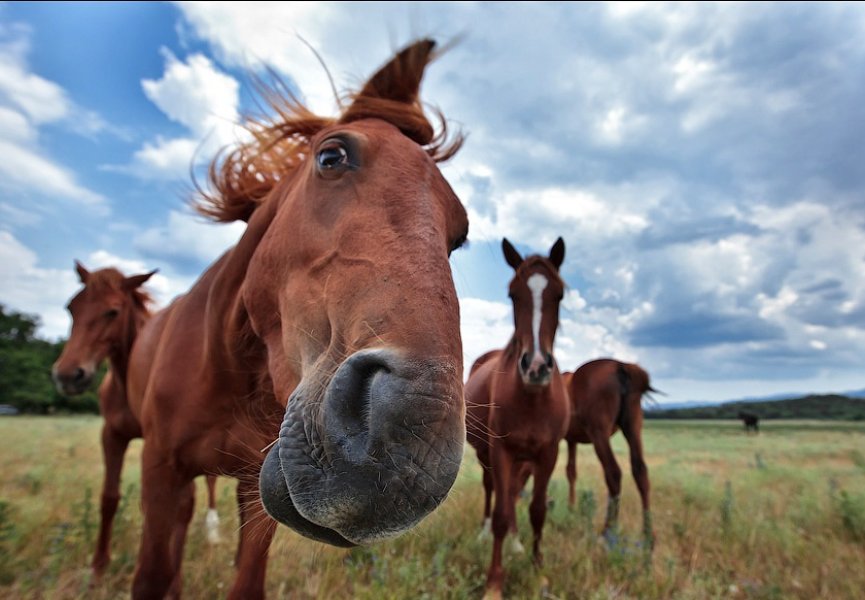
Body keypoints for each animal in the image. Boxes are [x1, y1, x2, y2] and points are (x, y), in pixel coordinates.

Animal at [51, 264, 223, 580]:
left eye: (113, 311)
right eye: (71, 308)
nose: (68, 375)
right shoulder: (112, 435)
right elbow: (109, 497)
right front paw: (99, 566)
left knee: (209, 485)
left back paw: (212, 531)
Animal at [125, 39, 470, 596]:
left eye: (459, 234)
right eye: (332, 156)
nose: (411, 450)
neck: (228, 369)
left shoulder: (252, 491)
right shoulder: (160, 472)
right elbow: (152, 575)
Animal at [466, 237, 568, 596]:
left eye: (559, 294)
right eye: (513, 294)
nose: (536, 367)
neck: (531, 398)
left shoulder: (548, 453)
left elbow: (537, 511)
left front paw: (539, 571)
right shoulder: (501, 451)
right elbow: (499, 511)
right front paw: (494, 582)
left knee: (510, 494)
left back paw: (515, 541)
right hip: (486, 454)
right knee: (491, 491)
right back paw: (483, 533)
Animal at [560, 358, 656, 548]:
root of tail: (621, 366)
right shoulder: (571, 440)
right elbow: (571, 472)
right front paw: (571, 508)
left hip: (599, 433)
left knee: (613, 473)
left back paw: (608, 532)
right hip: (633, 427)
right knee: (640, 471)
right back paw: (648, 536)